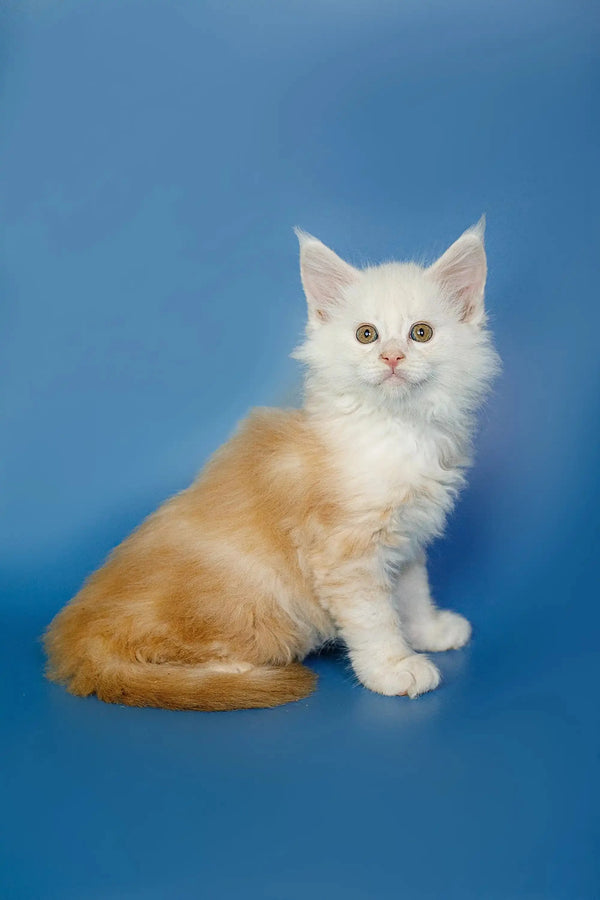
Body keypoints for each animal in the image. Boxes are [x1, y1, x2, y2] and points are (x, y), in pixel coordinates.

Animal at [44, 223, 500, 712]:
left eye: (420, 333)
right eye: (366, 335)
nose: (392, 357)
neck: (397, 429)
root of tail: (80, 642)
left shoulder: (408, 538)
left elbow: (412, 594)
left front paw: (429, 631)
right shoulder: (344, 550)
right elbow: (375, 617)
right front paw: (393, 668)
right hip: (246, 604)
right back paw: (235, 674)